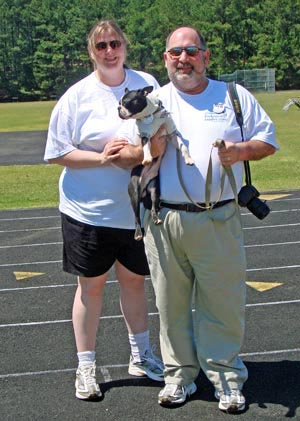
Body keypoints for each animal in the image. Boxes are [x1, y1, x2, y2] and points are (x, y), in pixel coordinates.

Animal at [118, 85, 193, 240]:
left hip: (154, 190)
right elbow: (147, 148)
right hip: (134, 193)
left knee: (153, 207)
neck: (150, 116)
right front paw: (147, 159)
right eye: (119, 103)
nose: (118, 108)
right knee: (136, 217)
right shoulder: (145, 136)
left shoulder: (171, 133)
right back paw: (138, 233)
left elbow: (183, 146)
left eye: (126, 102)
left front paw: (188, 158)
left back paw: (157, 218)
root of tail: (143, 192)